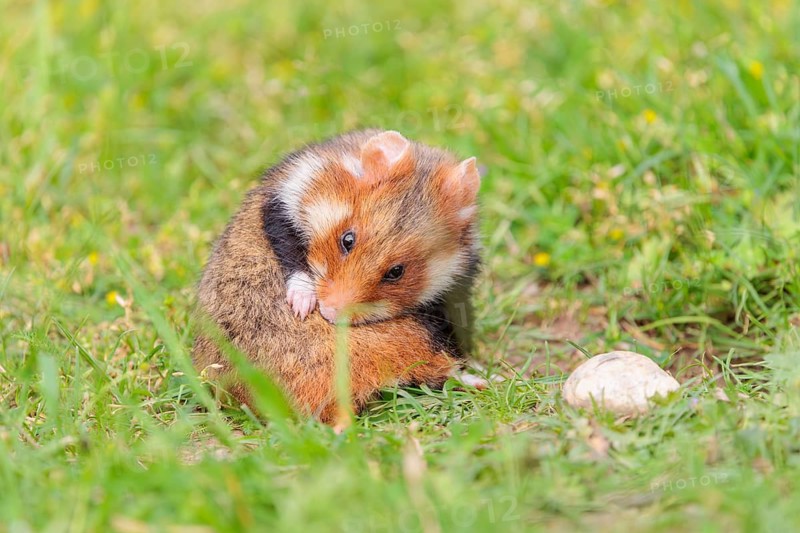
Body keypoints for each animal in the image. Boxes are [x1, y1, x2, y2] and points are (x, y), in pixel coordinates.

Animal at [192, 129, 481, 426]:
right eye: (347, 239)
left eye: (397, 272)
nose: (329, 314)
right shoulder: (285, 195)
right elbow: (288, 243)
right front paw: (301, 306)